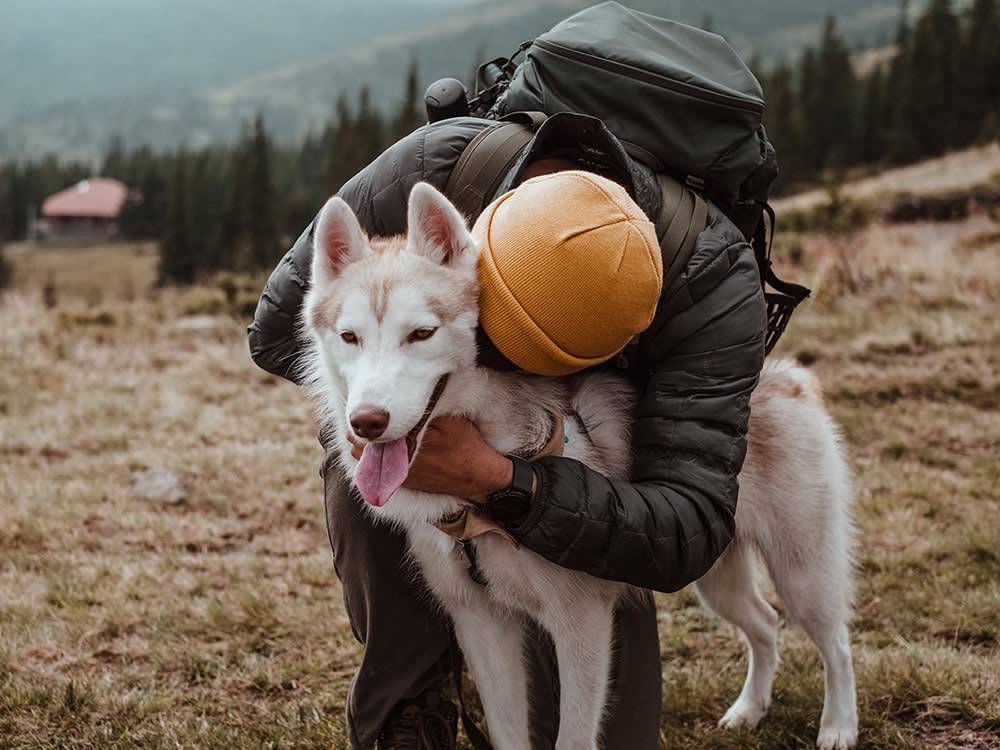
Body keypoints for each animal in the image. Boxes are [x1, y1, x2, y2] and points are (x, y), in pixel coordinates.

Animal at [298, 184, 860, 750]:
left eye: (420, 333)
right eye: (349, 337)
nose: (367, 422)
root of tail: (785, 376)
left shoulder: (581, 622)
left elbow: (572, 734)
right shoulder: (481, 622)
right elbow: (508, 731)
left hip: (802, 572)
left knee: (836, 640)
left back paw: (838, 725)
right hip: (715, 576)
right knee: (765, 623)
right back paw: (750, 709)